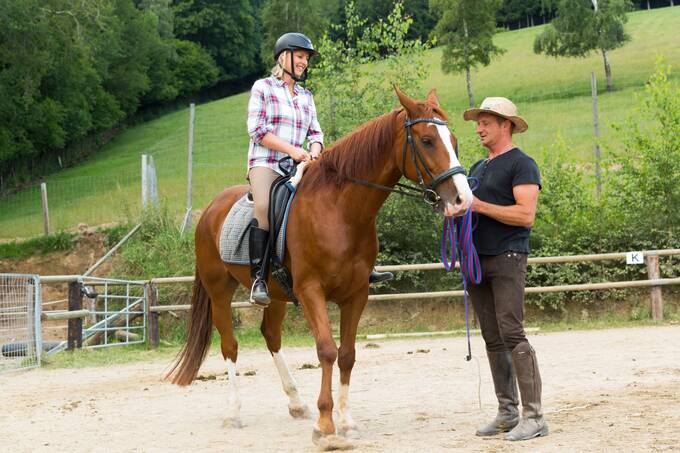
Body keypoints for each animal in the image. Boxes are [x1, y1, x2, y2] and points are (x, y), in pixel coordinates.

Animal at [169, 86, 472, 446]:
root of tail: (211, 209)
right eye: (427, 140)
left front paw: (346, 420)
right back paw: (234, 413)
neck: (339, 211)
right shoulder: (311, 291)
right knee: (230, 344)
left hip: (276, 295)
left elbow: (348, 354)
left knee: (271, 336)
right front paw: (326, 425)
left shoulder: (356, 295)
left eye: (453, 140)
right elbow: (327, 350)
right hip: (220, 291)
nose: (463, 199)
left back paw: (296, 403)